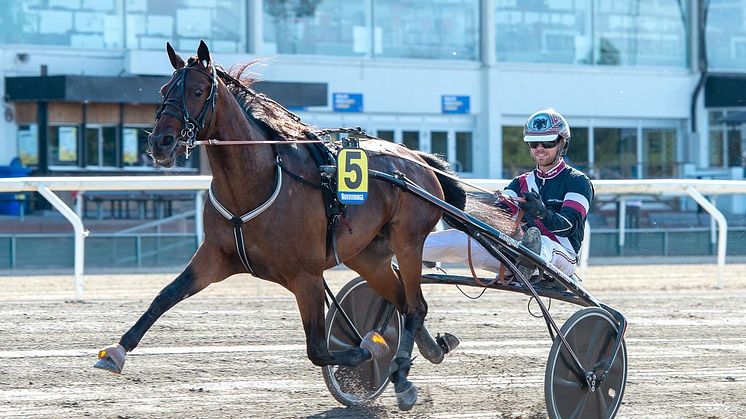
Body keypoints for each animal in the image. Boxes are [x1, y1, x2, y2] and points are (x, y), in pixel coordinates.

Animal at [93, 41, 464, 410]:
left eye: (198, 91)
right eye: (164, 90)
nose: (161, 143)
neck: (253, 185)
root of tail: (417, 159)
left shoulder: (306, 276)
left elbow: (318, 349)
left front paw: (366, 349)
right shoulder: (214, 256)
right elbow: (164, 296)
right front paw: (116, 351)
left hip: (408, 240)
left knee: (415, 306)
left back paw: (401, 377)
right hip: (367, 255)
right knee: (402, 301)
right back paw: (424, 356)